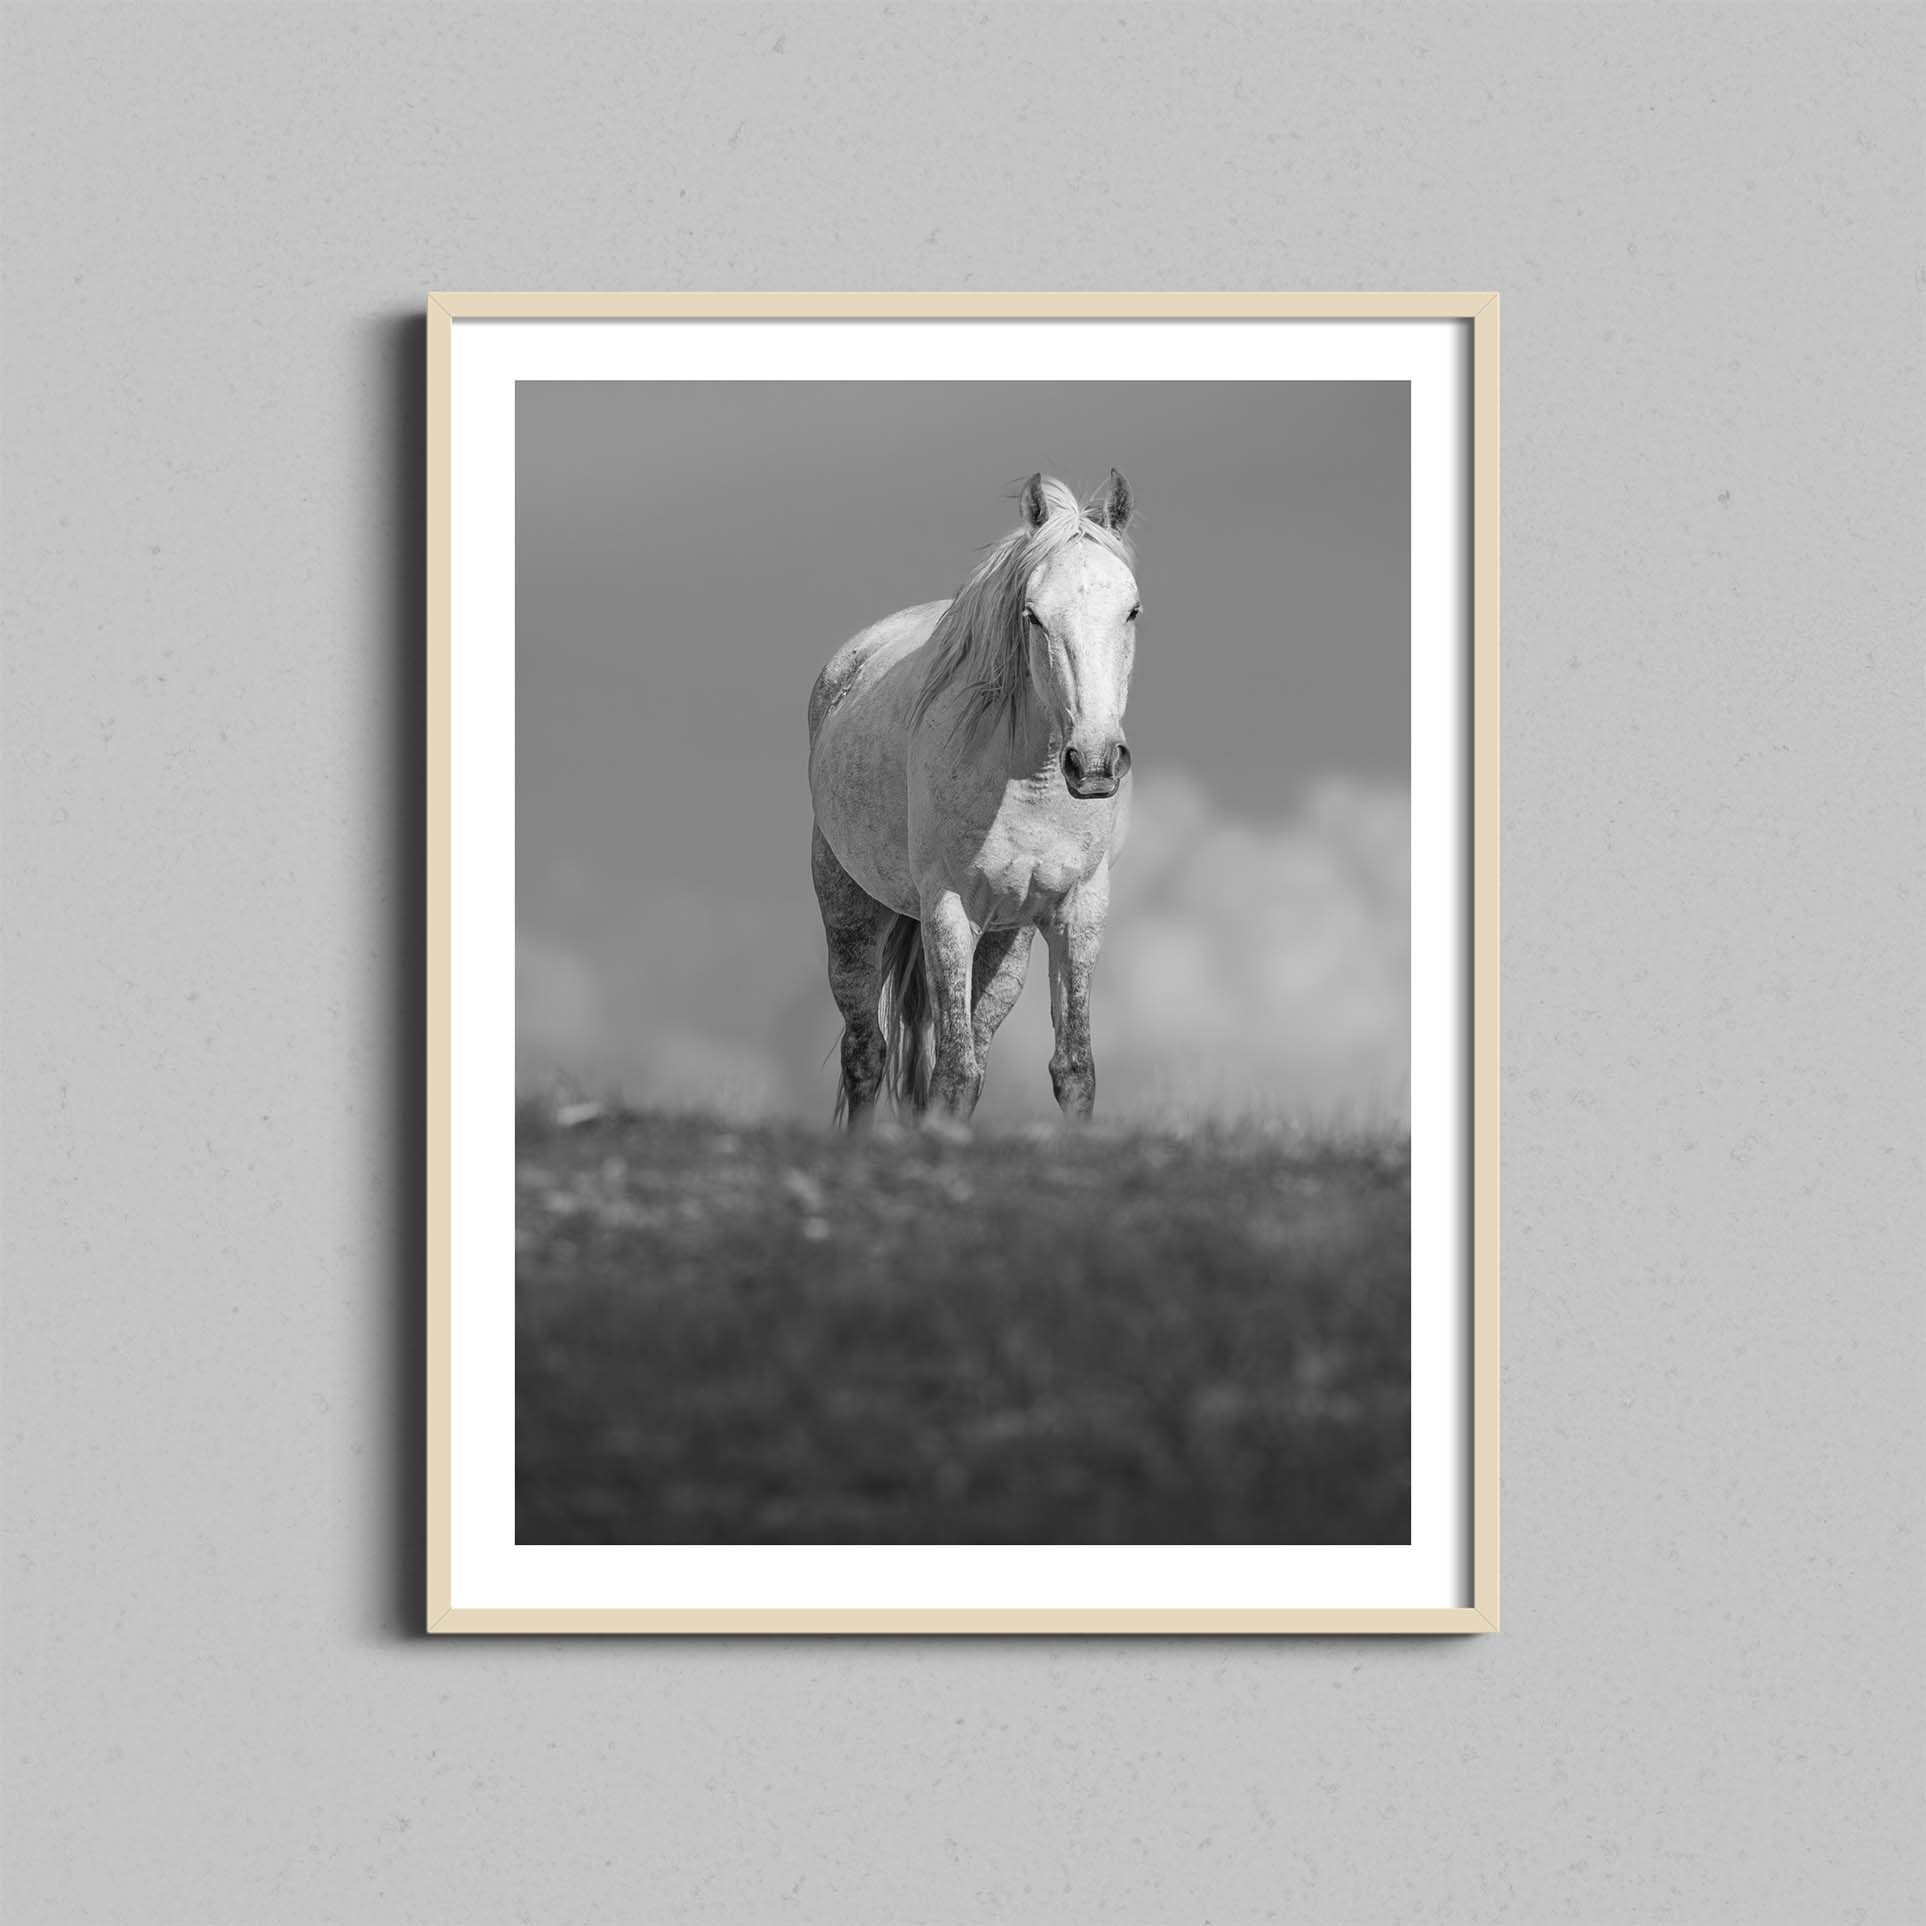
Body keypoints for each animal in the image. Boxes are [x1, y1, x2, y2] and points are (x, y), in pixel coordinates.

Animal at [807, 470, 1139, 1127]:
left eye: (1132, 610)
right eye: (1033, 616)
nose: (1094, 763)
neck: (1029, 779)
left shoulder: (1079, 910)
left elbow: (1074, 1070)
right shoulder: (948, 909)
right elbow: (954, 1075)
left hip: (1007, 940)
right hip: (851, 911)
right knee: (866, 1053)